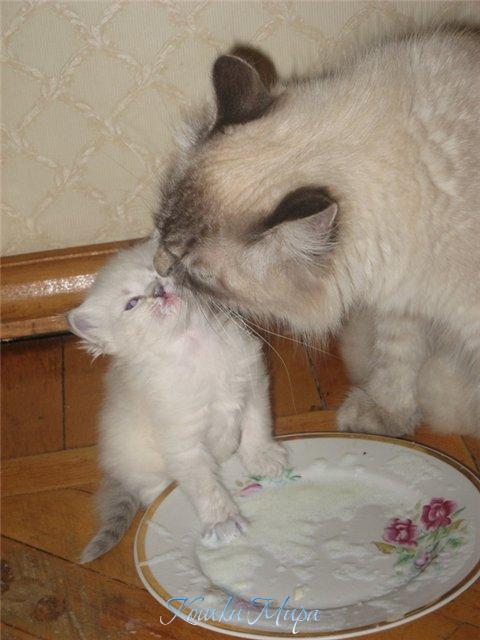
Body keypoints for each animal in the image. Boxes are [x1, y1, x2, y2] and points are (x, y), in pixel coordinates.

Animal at [67, 238, 287, 563]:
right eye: (132, 303)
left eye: (158, 271)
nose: (157, 289)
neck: (194, 341)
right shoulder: (182, 441)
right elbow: (204, 485)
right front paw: (224, 521)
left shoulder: (254, 384)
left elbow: (257, 427)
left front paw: (265, 458)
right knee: (151, 489)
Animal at [152, 31, 480, 437]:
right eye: (159, 226)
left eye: (194, 270)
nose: (157, 268)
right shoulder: (403, 304)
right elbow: (397, 362)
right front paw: (384, 417)